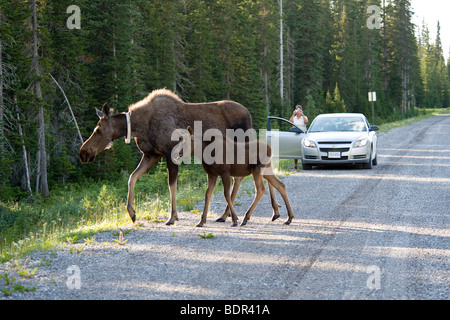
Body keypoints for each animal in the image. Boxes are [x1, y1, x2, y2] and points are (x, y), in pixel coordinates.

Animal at [78, 88, 256, 225]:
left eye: (98, 129)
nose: (83, 153)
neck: (138, 127)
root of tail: (249, 115)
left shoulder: (170, 153)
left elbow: (172, 185)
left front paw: (172, 217)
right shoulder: (151, 155)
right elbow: (132, 178)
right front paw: (132, 213)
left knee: (238, 177)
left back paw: (230, 215)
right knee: (237, 178)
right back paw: (227, 215)